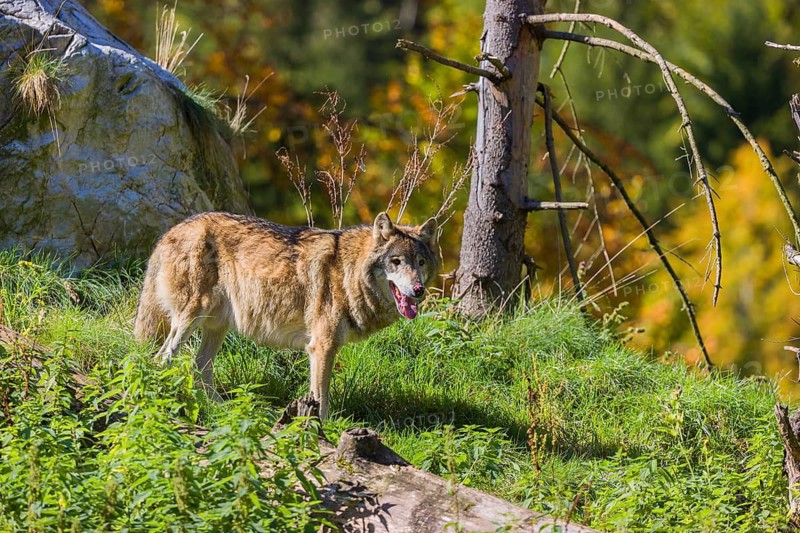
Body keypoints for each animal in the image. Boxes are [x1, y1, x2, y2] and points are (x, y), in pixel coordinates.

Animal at [133, 211, 439, 418]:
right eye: (396, 262)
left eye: (420, 262)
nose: (418, 290)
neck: (348, 273)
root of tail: (173, 229)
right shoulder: (322, 347)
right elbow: (321, 399)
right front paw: (321, 430)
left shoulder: (323, 348)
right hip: (190, 320)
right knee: (161, 359)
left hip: (216, 328)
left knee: (199, 369)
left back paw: (232, 411)